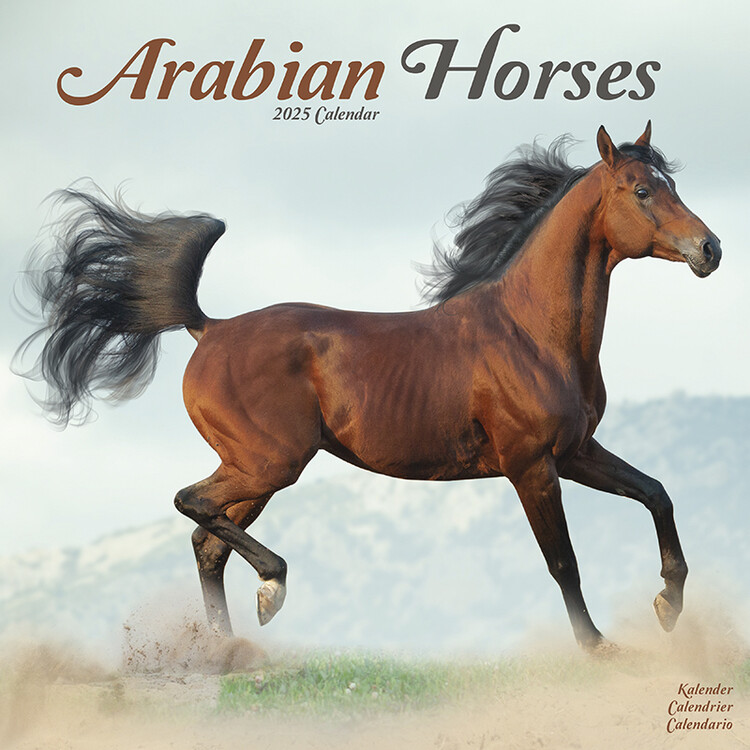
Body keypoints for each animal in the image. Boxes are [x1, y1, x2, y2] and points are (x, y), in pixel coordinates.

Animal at [17, 123, 721, 651]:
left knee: (206, 539)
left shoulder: (575, 453)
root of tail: (207, 328)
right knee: (193, 505)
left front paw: (667, 604)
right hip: (269, 463)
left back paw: (229, 650)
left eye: (673, 184)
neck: (530, 333)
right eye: (642, 190)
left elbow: (657, 495)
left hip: (257, 471)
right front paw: (597, 645)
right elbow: (562, 560)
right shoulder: (531, 466)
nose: (710, 249)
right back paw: (270, 591)